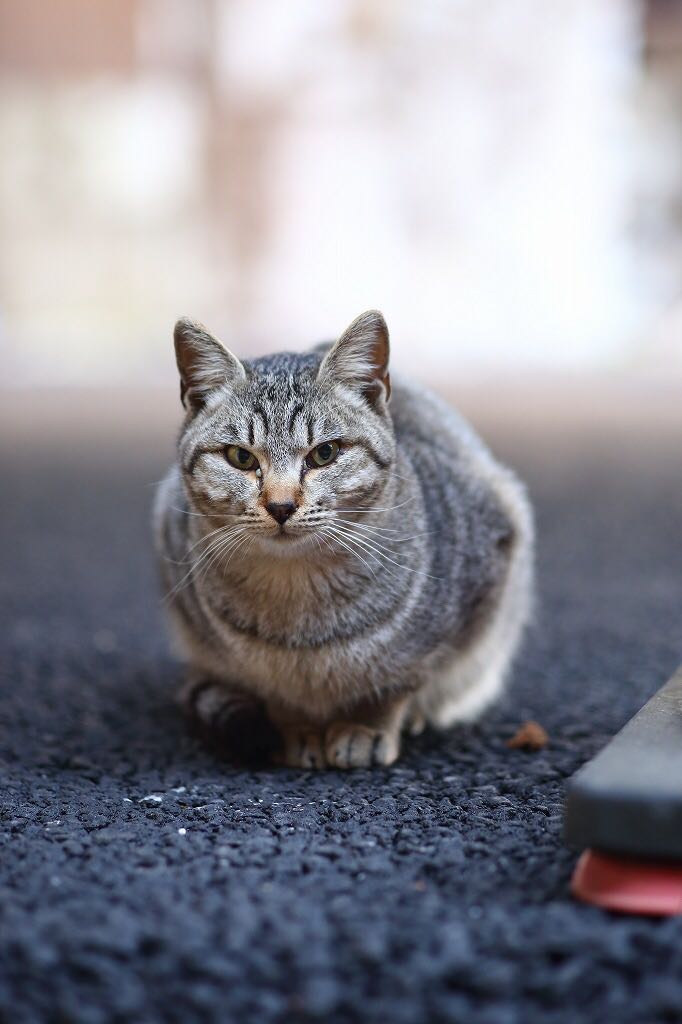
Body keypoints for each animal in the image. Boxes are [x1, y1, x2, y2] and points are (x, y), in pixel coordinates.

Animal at [152, 311, 532, 770]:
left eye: (325, 453)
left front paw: (367, 726)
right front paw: (296, 730)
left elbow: (398, 682)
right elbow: (277, 693)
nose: (281, 506)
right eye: (241, 458)